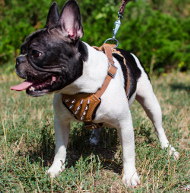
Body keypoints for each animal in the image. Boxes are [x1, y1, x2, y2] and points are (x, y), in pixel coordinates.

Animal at [11, 0, 179, 187]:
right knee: (97, 125)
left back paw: (168, 149)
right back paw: (94, 138)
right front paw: (55, 170)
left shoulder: (125, 124)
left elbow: (128, 153)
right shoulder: (60, 122)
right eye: (22, 49)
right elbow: (60, 149)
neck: (79, 87)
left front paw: (129, 176)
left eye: (35, 53)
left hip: (150, 101)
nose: (18, 60)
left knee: (158, 127)